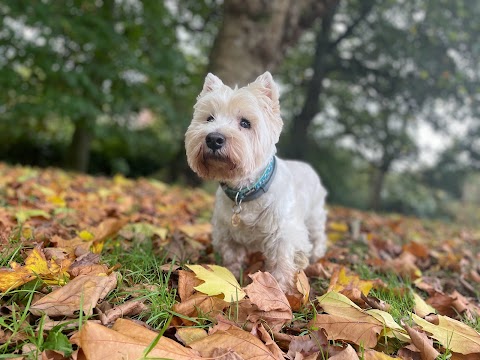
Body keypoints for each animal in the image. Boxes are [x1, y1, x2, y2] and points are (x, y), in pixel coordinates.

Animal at [184, 71, 326, 292]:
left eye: (245, 123)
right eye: (209, 118)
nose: (214, 138)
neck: (245, 191)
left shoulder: (284, 235)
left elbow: (282, 264)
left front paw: (281, 290)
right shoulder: (227, 233)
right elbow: (232, 257)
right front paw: (231, 276)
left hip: (314, 215)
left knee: (318, 235)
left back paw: (317, 255)